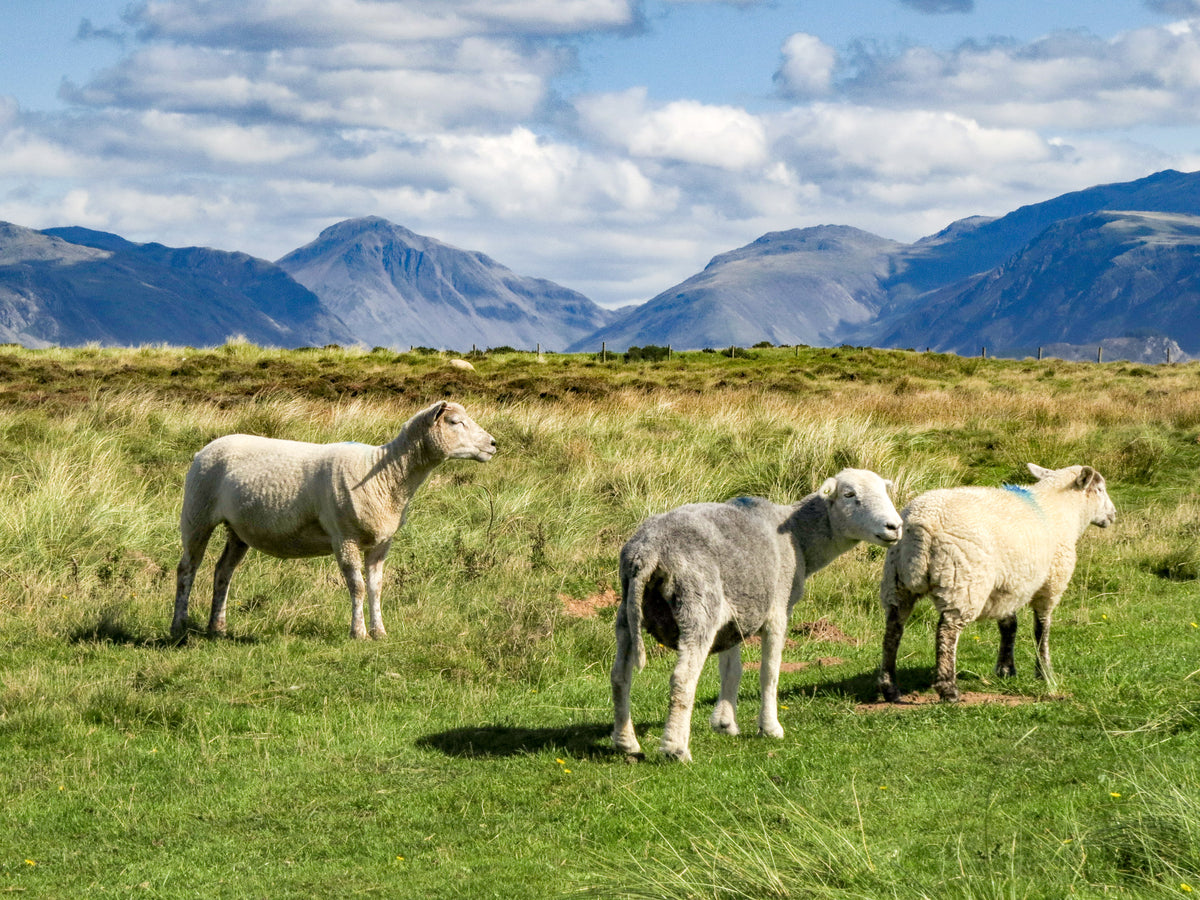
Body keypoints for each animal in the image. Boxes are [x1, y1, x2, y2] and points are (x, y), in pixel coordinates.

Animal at [171, 400, 497, 640]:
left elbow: (376, 587)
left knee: (222, 571)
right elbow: (358, 587)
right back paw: (179, 626)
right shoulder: (345, 538)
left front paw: (380, 632)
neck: (387, 476)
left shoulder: (382, 542)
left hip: (237, 530)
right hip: (197, 513)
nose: (494, 444)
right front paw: (358, 632)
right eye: (454, 422)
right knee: (187, 569)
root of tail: (206, 447)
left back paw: (217, 627)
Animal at [611, 468, 903, 762]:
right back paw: (675, 749)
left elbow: (732, 670)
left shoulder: (735, 615)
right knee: (682, 680)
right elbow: (769, 672)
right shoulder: (778, 610)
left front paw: (725, 723)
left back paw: (626, 743)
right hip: (698, 605)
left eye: (885, 491)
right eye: (849, 494)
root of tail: (647, 551)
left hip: (628, 611)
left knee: (620, 676)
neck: (799, 535)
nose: (895, 526)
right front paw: (770, 728)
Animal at [878, 463, 1116, 703]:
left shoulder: (1008, 585)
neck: (1060, 509)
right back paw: (948, 689)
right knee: (947, 631)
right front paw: (1045, 672)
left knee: (893, 630)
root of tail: (920, 525)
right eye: (1100, 489)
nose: (1113, 515)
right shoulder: (1051, 584)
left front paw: (1006, 669)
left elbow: (1009, 625)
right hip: (962, 581)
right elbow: (1042, 629)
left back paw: (890, 687)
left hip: (896, 580)